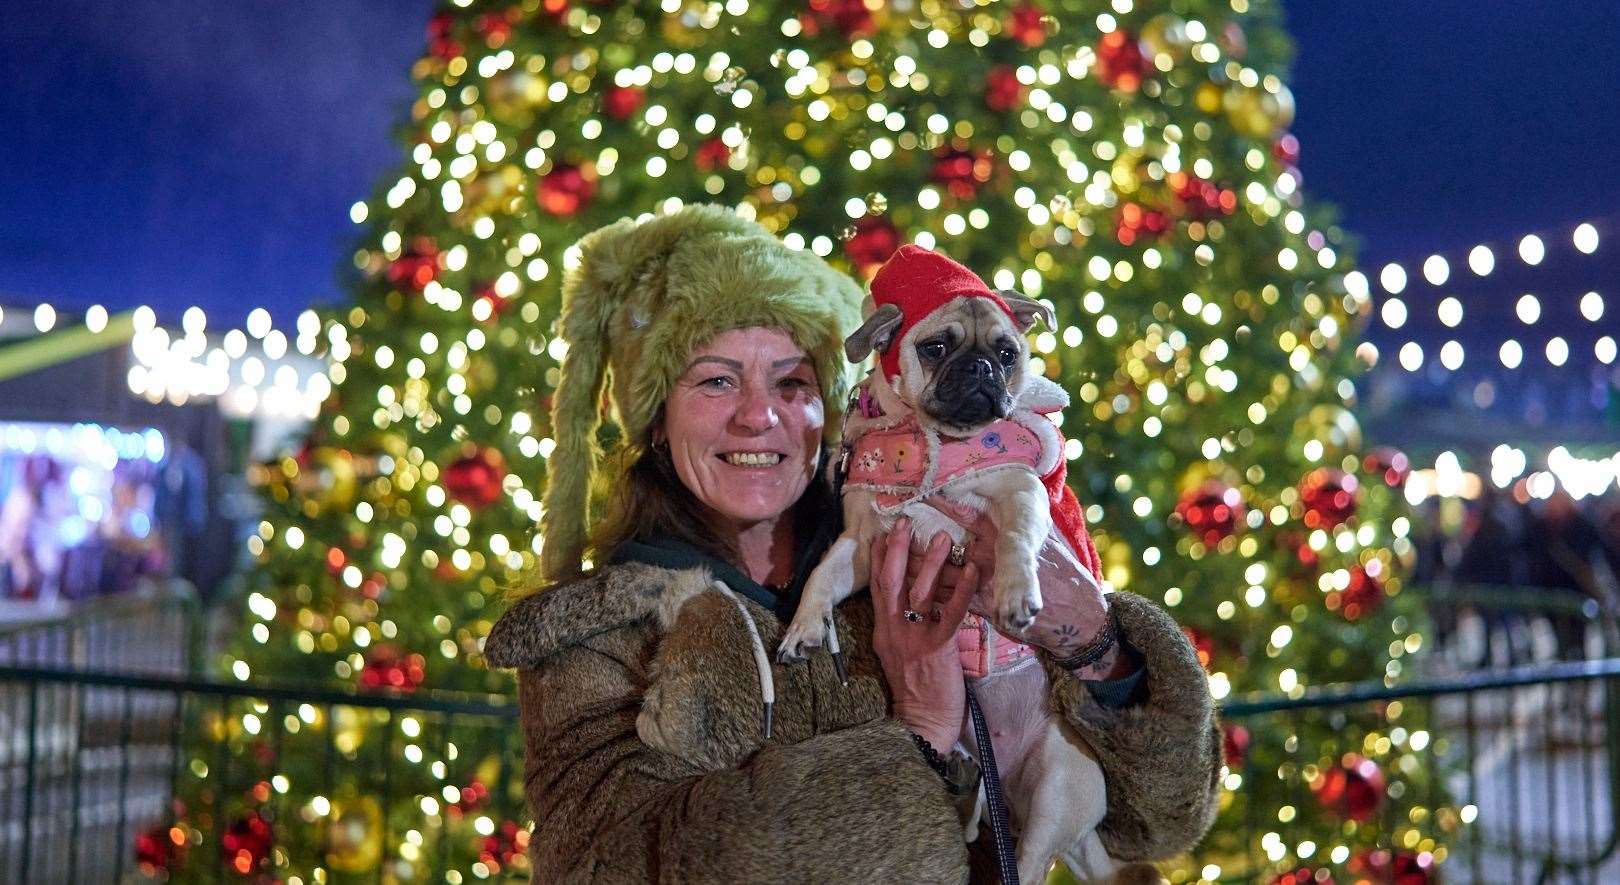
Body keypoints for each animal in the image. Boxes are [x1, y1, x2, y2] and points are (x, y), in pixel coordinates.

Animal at [777, 270, 1134, 881]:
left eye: (1008, 353)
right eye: (935, 347)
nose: (981, 368)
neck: (931, 438)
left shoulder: (1020, 492)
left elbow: (1013, 541)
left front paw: (1016, 592)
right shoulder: (864, 541)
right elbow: (822, 577)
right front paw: (804, 628)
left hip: (1056, 791)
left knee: (1030, 864)